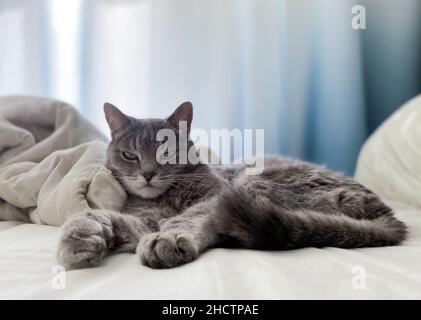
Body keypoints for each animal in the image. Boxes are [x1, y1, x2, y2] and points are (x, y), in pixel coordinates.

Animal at [56, 101, 406, 268]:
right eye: (130, 155)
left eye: (166, 152)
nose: (147, 173)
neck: (164, 199)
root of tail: (390, 216)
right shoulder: (141, 220)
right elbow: (100, 217)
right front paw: (80, 237)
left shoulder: (213, 198)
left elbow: (187, 218)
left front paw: (166, 240)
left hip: (255, 188)